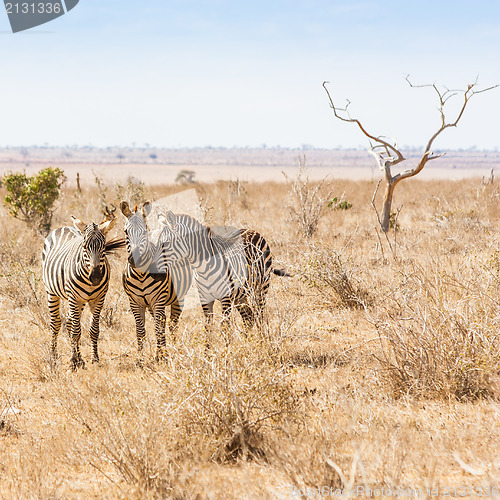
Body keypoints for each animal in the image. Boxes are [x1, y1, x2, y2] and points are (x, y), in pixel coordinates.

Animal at [43, 214, 125, 368]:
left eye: (103, 247)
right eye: (85, 247)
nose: (96, 277)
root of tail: (64, 227)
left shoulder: (99, 299)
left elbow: (93, 330)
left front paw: (94, 358)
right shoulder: (74, 297)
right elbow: (76, 332)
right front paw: (73, 362)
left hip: (78, 301)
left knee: (70, 322)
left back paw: (78, 357)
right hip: (53, 293)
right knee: (56, 323)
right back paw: (54, 357)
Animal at [119, 199, 193, 360]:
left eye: (145, 230)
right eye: (126, 232)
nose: (136, 260)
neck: (140, 275)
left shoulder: (158, 299)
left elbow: (158, 328)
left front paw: (162, 357)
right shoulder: (135, 302)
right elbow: (140, 331)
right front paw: (140, 359)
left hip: (178, 298)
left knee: (172, 323)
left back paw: (174, 347)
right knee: (164, 322)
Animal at [156, 210, 290, 332]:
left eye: (166, 243)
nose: (154, 267)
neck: (203, 269)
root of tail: (253, 231)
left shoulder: (226, 298)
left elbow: (225, 327)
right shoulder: (205, 299)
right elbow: (208, 327)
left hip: (261, 288)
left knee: (260, 316)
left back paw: (264, 340)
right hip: (240, 295)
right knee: (249, 317)